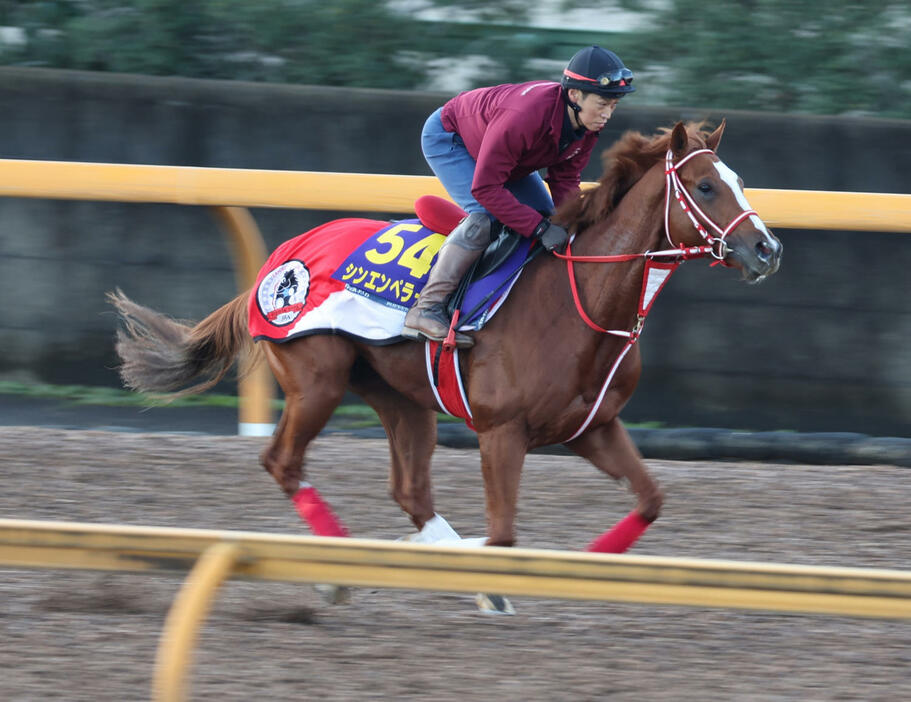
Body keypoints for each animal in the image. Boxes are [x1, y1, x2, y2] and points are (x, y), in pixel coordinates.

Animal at [105, 118, 776, 572]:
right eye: (706, 186)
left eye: (740, 180)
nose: (768, 248)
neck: (580, 298)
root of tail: (279, 260)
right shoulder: (502, 432)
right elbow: (503, 535)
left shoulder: (593, 427)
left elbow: (651, 500)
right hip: (318, 380)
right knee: (283, 462)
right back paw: (339, 560)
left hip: (403, 398)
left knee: (409, 490)